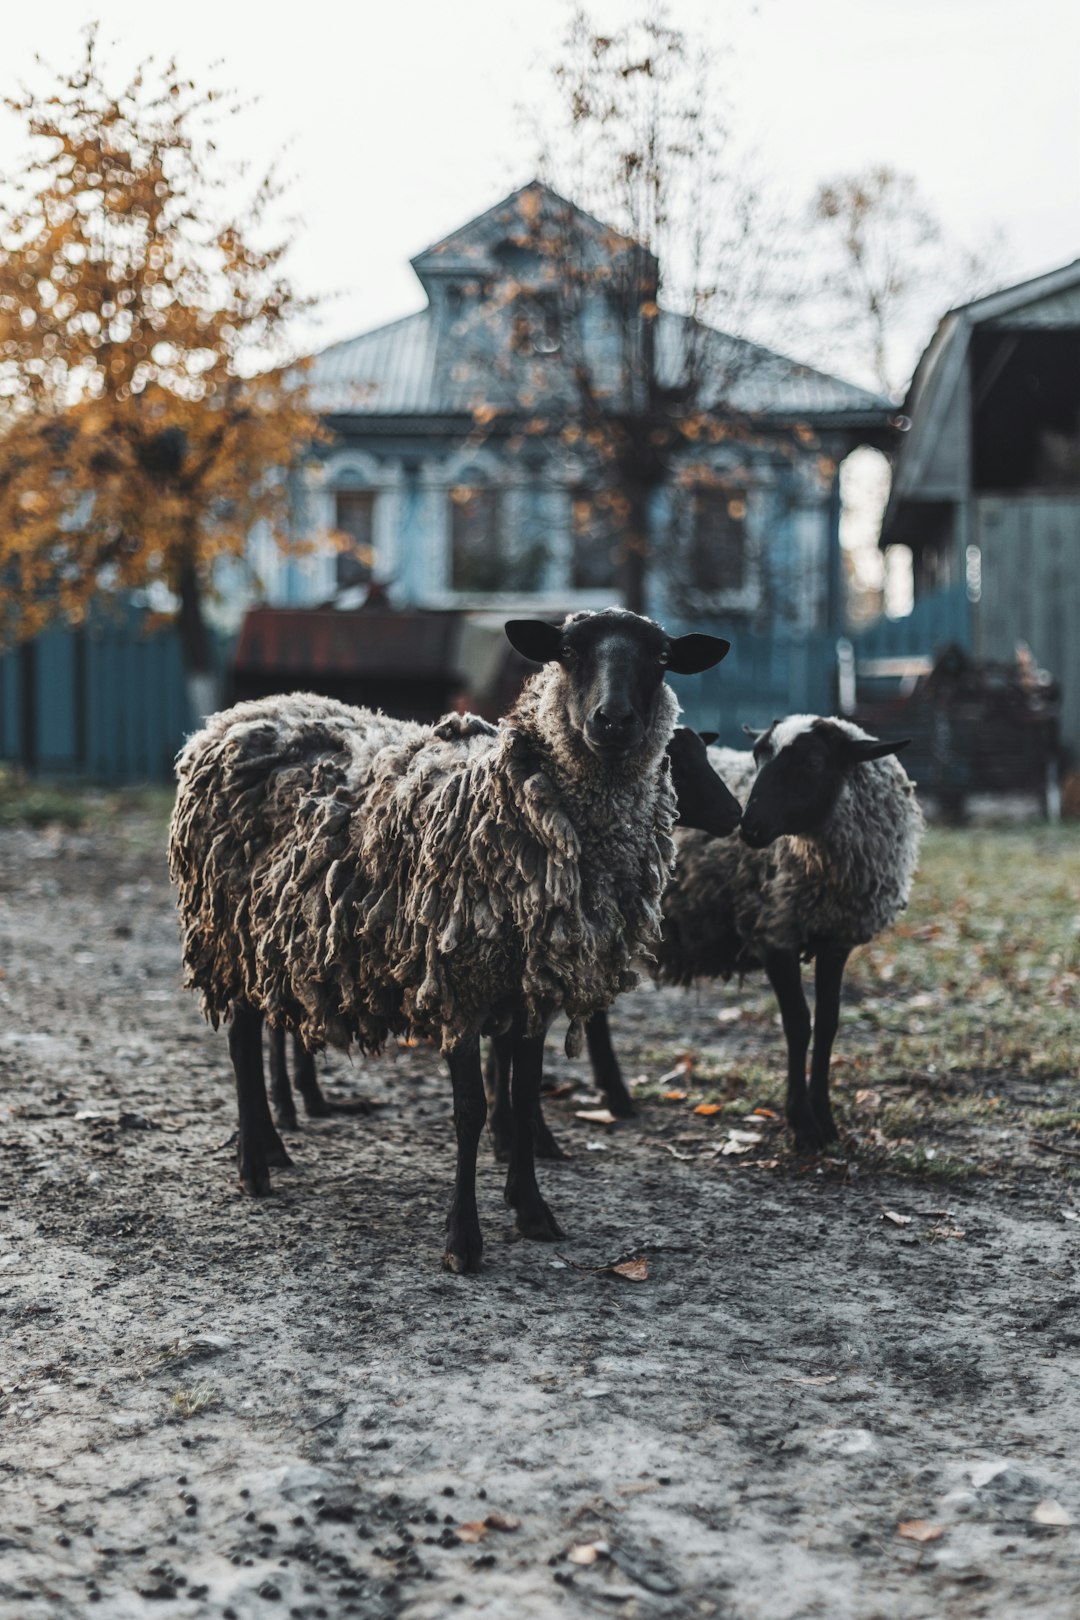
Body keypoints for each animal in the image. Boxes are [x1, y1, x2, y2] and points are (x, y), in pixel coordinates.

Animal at [166, 612, 725, 1270]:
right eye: (567, 651)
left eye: (661, 658)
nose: (612, 721)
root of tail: (239, 712)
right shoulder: (459, 981)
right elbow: (471, 1111)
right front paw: (464, 1240)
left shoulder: (530, 989)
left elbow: (523, 1093)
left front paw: (532, 1209)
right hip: (228, 936)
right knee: (242, 1043)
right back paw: (255, 1163)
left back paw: (273, 1148)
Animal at [579, 719, 926, 1153]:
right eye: (758, 756)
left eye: (814, 762)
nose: (749, 825)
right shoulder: (772, 929)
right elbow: (798, 1023)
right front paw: (803, 1126)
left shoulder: (835, 941)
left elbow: (828, 1023)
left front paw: (826, 1121)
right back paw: (614, 1094)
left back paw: (612, 1093)